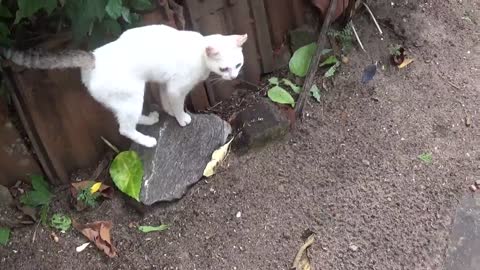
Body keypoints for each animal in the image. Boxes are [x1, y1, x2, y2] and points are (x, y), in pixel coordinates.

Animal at [3, 24, 249, 148]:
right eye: (225, 69)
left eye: (238, 65)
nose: (233, 76)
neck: (198, 52)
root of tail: (93, 57)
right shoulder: (176, 87)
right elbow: (178, 105)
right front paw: (182, 119)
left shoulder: (164, 83)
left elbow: (165, 101)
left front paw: (169, 112)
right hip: (132, 95)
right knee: (124, 128)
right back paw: (148, 141)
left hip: (128, 99)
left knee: (127, 120)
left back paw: (151, 119)